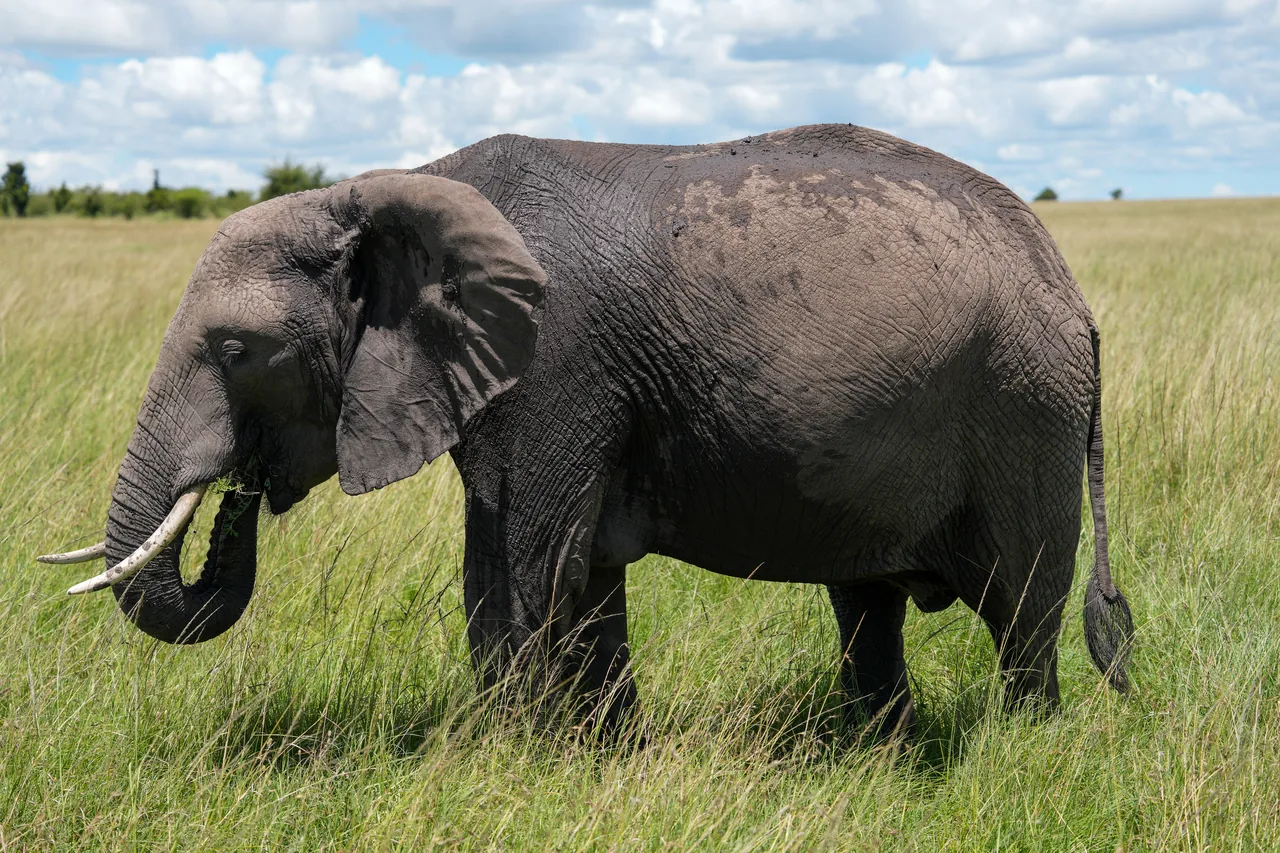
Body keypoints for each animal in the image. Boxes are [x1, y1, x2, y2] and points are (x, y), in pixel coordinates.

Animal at [42, 124, 1133, 734]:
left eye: (236, 350)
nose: (241, 489)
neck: (393, 191)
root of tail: (1073, 292)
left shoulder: (551, 363)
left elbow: (519, 572)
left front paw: (493, 764)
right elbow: (583, 574)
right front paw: (603, 755)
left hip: (1021, 408)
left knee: (1021, 607)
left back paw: (1020, 751)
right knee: (867, 607)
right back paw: (880, 753)